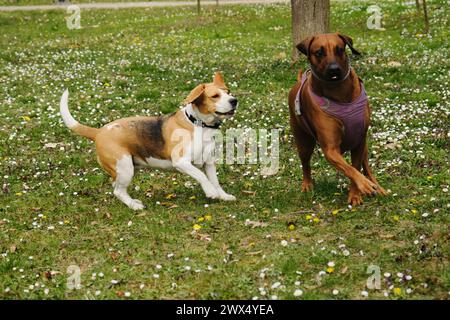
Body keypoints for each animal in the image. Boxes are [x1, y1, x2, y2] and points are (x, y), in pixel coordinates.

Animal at [60, 72, 239, 210]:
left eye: (229, 92)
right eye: (215, 96)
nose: (234, 100)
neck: (198, 124)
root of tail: (99, 132)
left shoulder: (208, 162)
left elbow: (215, 181)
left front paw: (223, 195)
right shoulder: (181, 162)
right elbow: (201, 176)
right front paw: (211, 192)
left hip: (128, 168)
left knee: (117, 187)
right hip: (125, 167)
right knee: (118, 191)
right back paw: (134, 206)